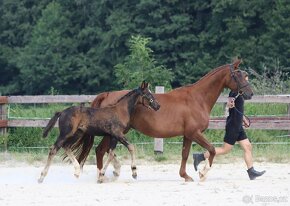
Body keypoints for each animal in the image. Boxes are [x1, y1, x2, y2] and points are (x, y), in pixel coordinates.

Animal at [78, 58, 251, 181]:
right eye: (238, 75)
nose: (250, 93)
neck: (197, 98)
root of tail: (106, 94)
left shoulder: (188, 135)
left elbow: (185, 154)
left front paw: (185, 175)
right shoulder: (195, 133)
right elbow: (212, 150)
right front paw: (202, 173)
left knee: (101, 151)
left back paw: (107, 174)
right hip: (114, 133)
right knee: (101, 151)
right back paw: (106, 174)